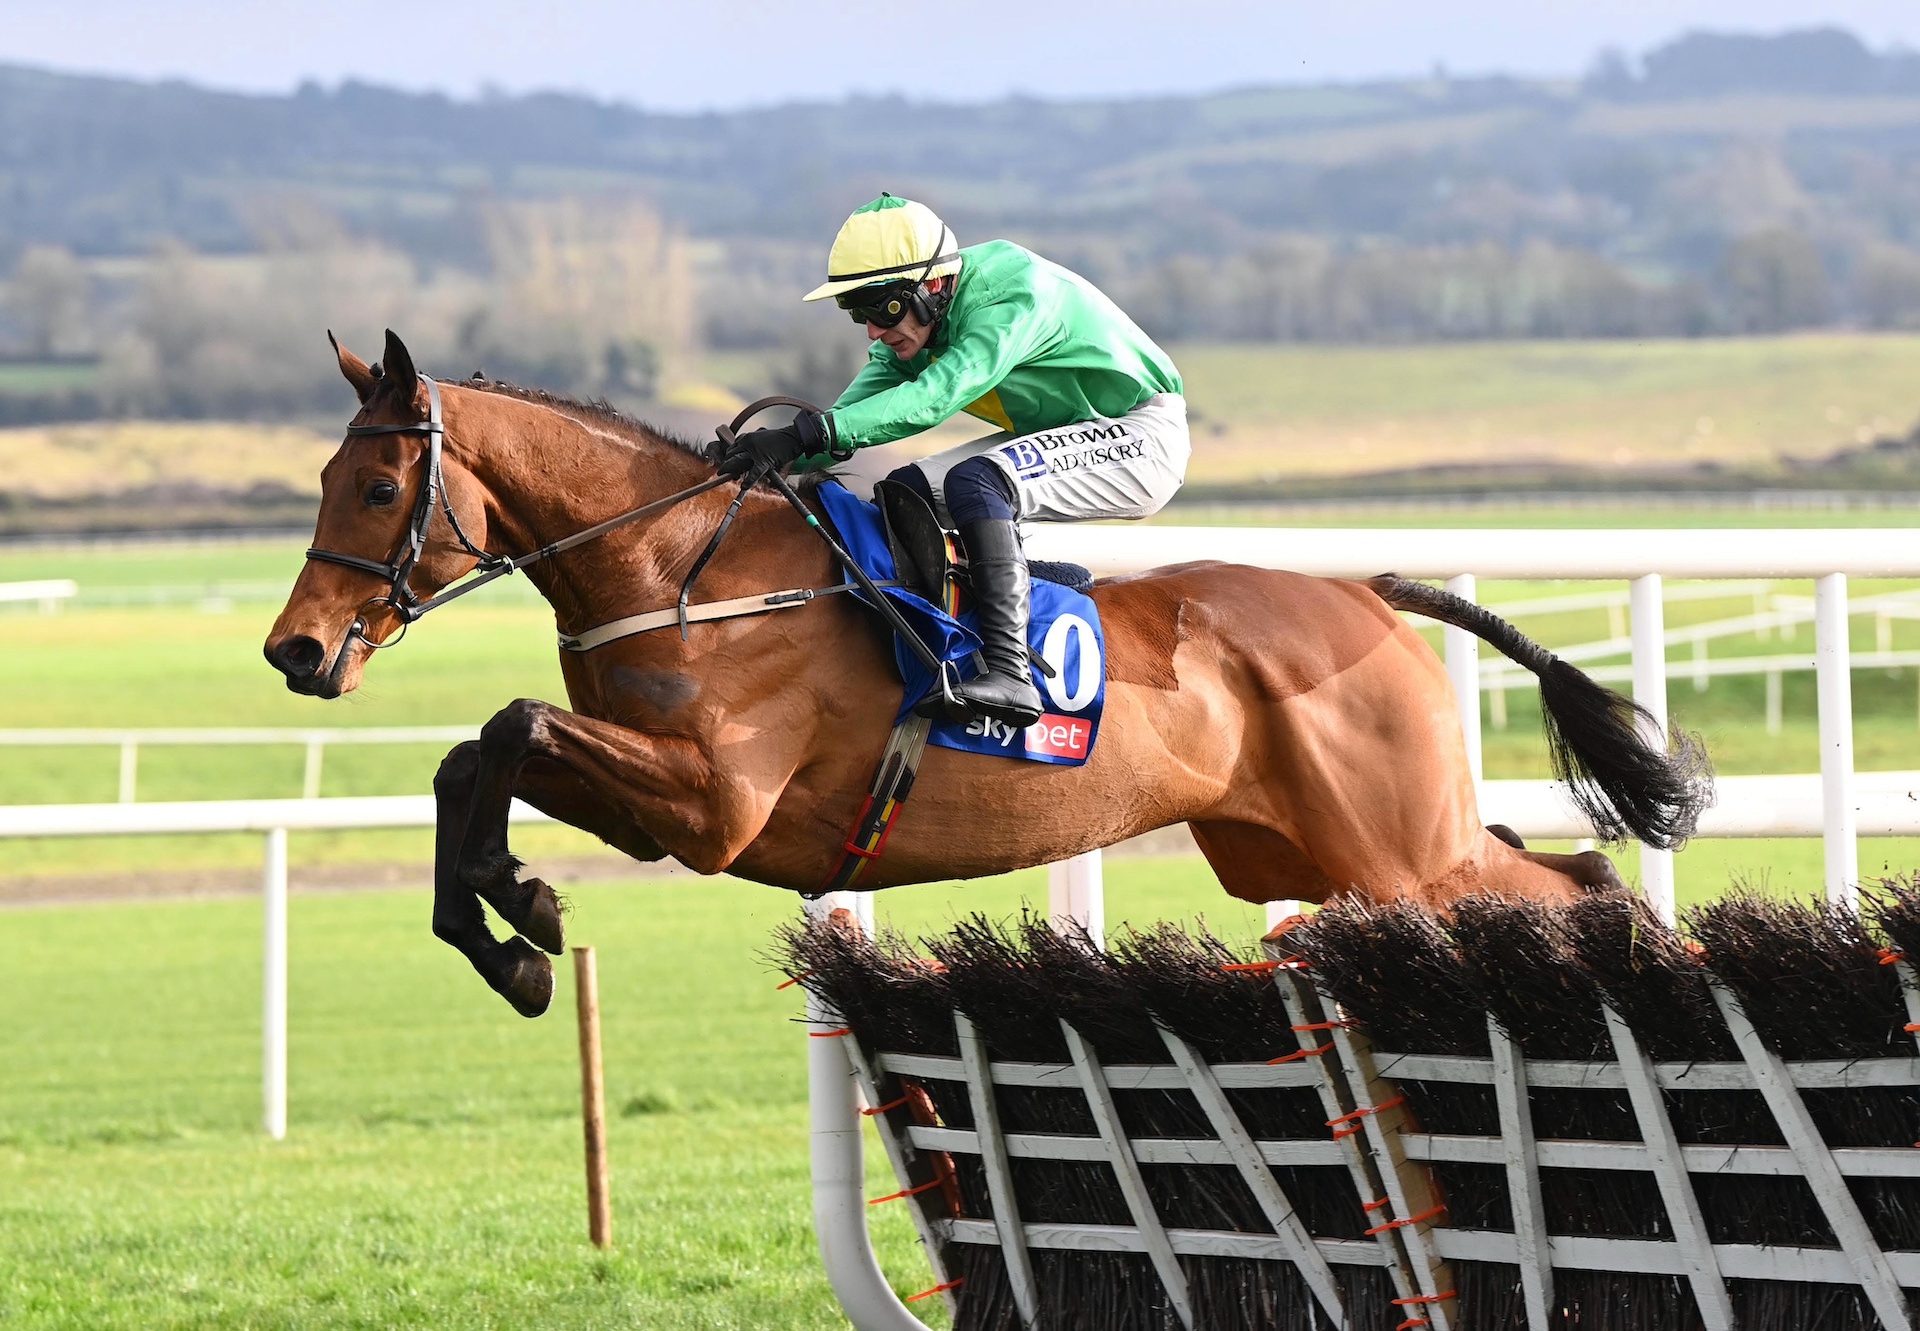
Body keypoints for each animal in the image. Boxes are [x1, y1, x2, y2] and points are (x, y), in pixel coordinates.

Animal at [259, 334, 1712, 1014]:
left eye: (379, 485)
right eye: (323, 475)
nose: (297, 650)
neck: (680, 562)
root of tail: (1367, 591)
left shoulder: (715, 804)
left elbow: (506, 726)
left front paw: (524, 910)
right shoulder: (658, 795)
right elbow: (473, 757)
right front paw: (510, 929)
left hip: (1399, 849)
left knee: (1581, 886)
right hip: (1309, 852)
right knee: (1567, 873)